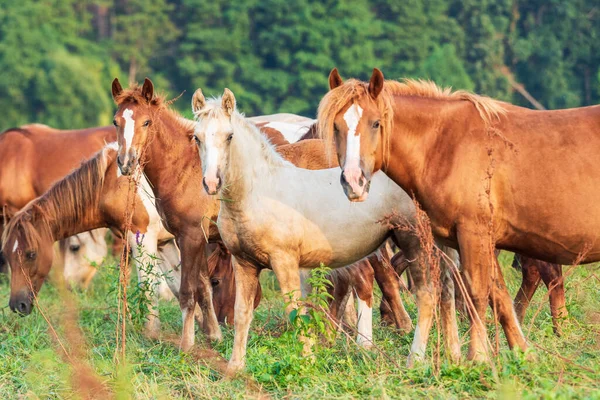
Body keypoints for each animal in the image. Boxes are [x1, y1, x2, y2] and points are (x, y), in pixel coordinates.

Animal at [188, 87, 464, 376]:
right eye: (197, 137)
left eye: (229, 136)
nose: (211, 182)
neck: (258, 192)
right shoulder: (244, 263)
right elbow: (243, 313)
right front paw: (235, 367)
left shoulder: (285, 262)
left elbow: (296, 311)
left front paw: (306, 362)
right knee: (446, 292)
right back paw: (453, 355)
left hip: (415, 244)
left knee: (427, 296)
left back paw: (415, 360)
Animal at [314, 69, 600, 362]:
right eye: (336, 127)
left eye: (375, 123)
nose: (353, 182)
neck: (446, 145)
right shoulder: (469, 240)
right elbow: (495, 295)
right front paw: (523, 354)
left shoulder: (474, 235)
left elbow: (476, 292)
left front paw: (478, 356)